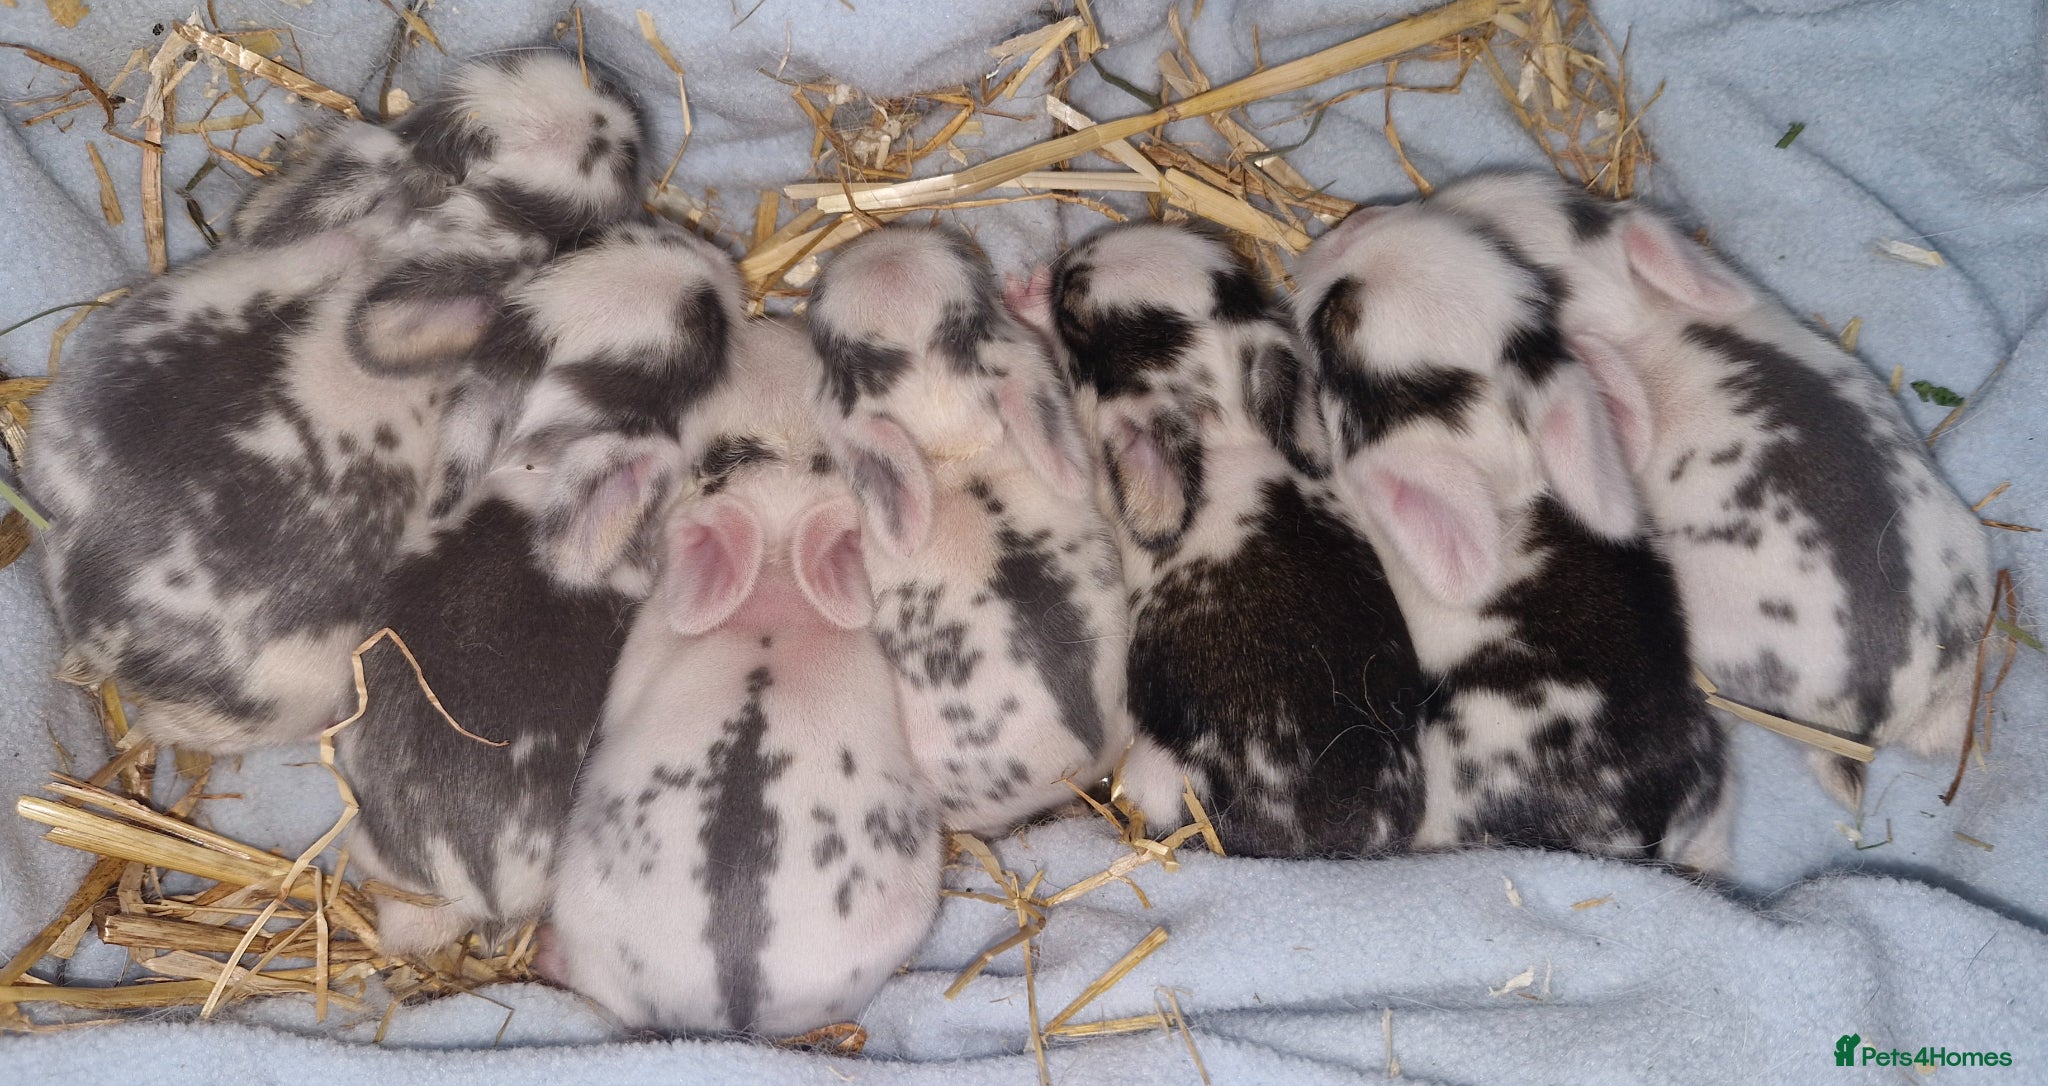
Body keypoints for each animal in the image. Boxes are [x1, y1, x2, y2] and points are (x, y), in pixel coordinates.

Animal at [1011, 222, 1431, 857]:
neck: (1227, 432)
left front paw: (1025, 297)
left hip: (1155, 776)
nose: (1067, 262)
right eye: (1231, 274)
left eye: (1079, 309)